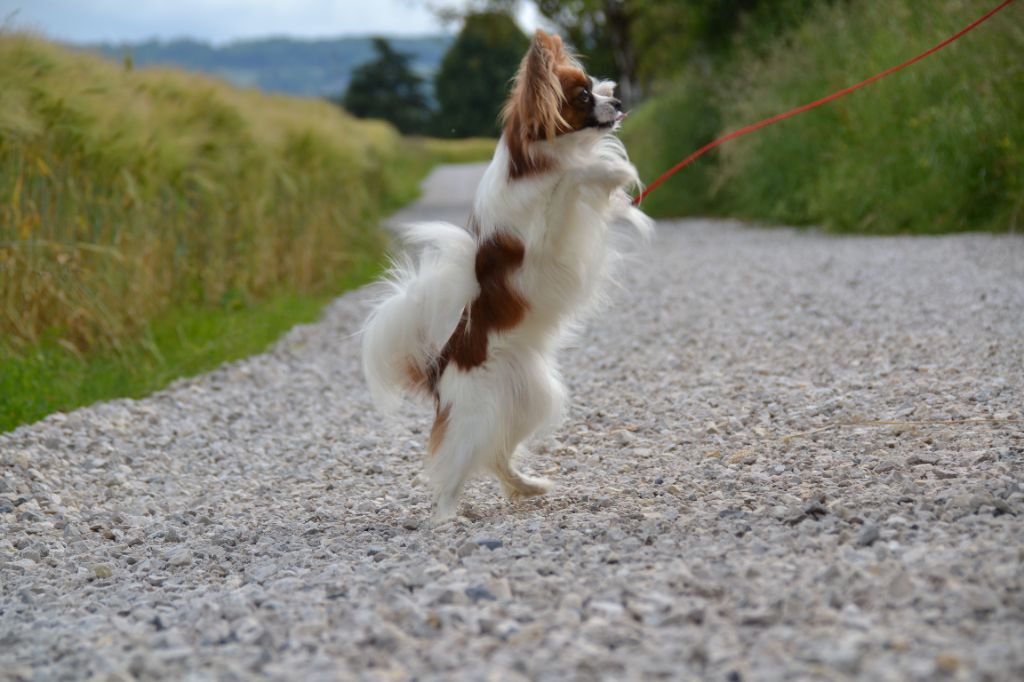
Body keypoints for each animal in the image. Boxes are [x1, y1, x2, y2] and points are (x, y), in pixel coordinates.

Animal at [362, 27, 647, 520]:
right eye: (583, 96)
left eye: (598, 86)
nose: (618, 98)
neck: (539, 161)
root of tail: (439, 369)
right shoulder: (545, 236)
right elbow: (571, 179)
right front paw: (610, 167)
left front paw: (617, 190)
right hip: (477, 415)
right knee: (452, 464)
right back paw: (447, 517)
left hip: (529, 398)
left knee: (496, 456)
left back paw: (527, 487)